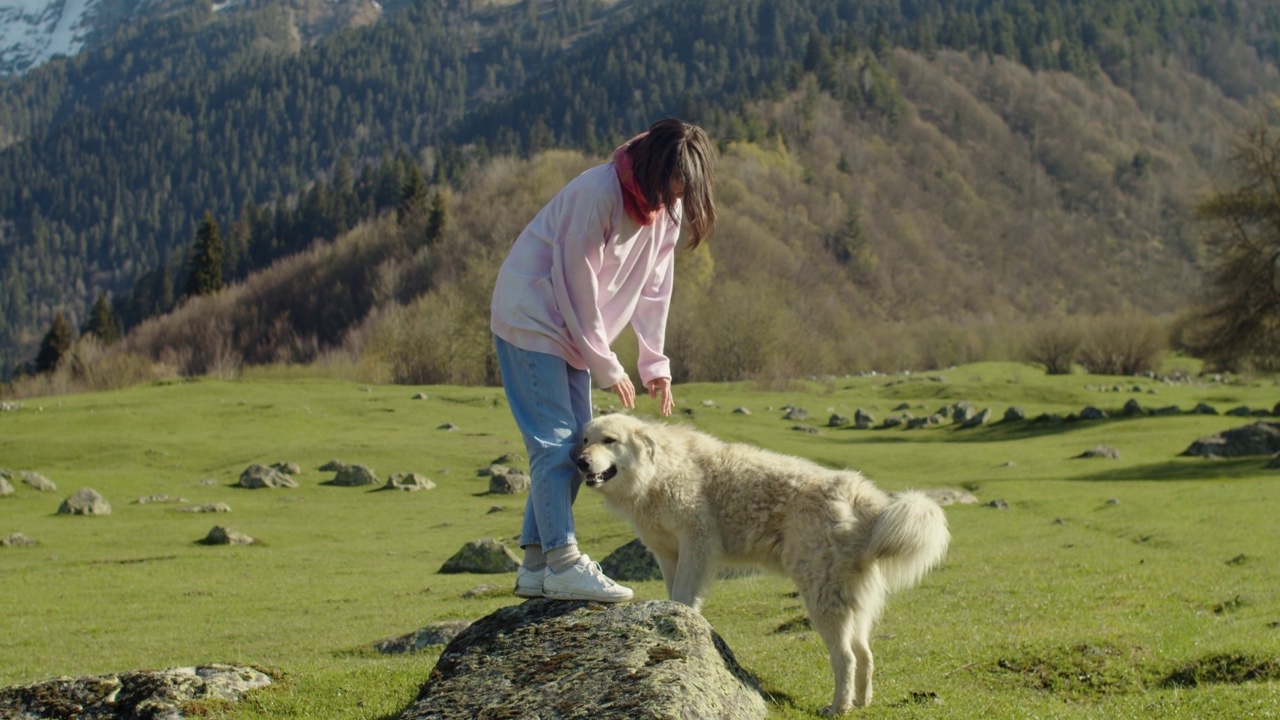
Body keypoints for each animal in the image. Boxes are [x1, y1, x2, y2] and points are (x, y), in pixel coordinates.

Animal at [576, 409, 947, 712]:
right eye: (584, 440)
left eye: (609, 440)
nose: (580, 461)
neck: (658, 471)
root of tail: (861, 495)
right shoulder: (667, 554)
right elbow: (675, 593)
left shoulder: (696, 543)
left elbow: (683, 594)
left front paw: (683, 620)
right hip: (850, 601)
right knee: (864, 654)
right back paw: (860, 703)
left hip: (821, 598)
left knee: (844, 657)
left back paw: (838, 708)